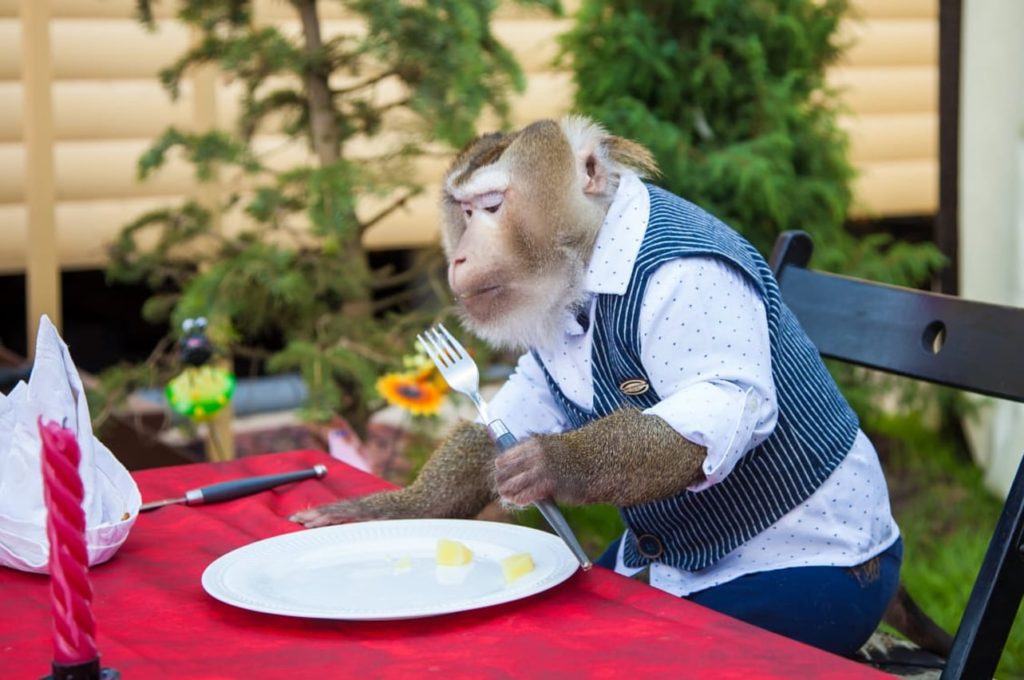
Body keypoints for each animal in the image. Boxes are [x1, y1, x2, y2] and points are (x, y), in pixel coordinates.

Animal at [291, 116, 951, 660]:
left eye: (493, 206)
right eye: (464, 211)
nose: (459, 257)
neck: (590, 258)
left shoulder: (690, 281)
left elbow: (724, 405)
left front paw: (552, 465)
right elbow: (510, 412)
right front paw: (396, 509)